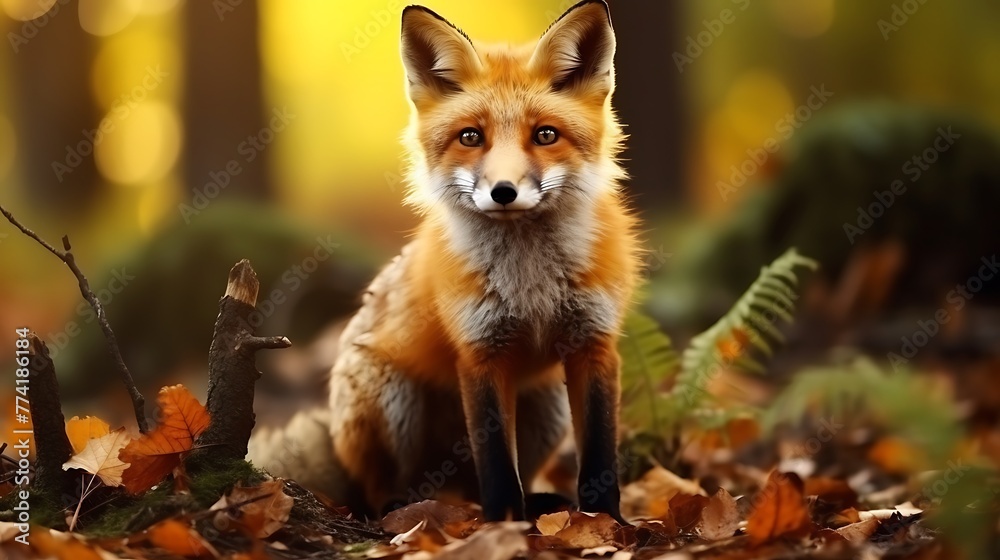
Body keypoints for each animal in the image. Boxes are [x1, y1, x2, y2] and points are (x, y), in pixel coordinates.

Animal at [252, 0, 641, 523]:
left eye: (545, 135)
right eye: (470, 137)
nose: (503, 192)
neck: (531, 283)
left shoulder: (593, 345)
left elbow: (599, 457)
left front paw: (607, 523)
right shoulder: (481, 351)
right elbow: (496, 464)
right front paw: (504, 525)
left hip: (547, 402)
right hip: (392, 398)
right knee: (383, 489)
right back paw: (404, 508)